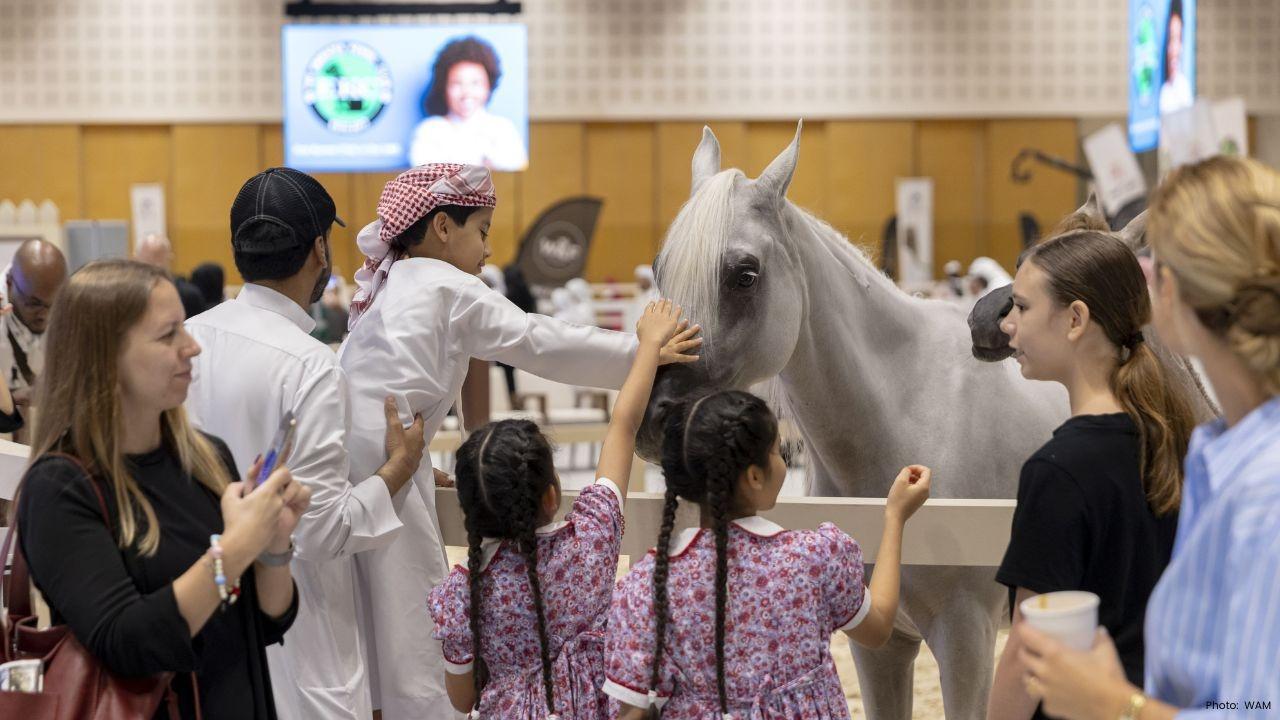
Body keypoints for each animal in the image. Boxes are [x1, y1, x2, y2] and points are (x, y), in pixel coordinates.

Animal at [635, 124, 1067, 719]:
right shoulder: (879, 643)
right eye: (659, 269)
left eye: (745, 275)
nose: (657, 420)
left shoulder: (967, 641)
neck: (908, 415)